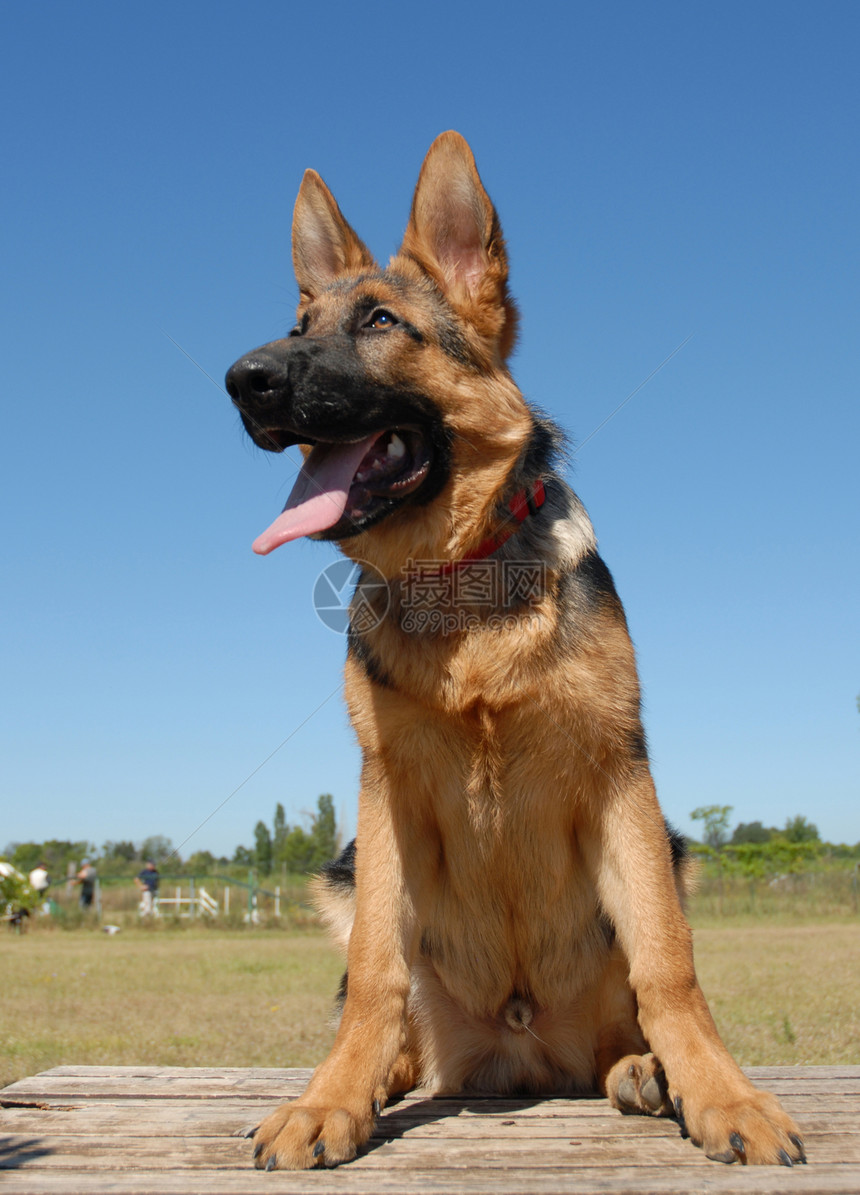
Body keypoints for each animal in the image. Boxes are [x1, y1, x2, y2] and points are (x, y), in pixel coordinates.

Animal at [224, 130, 802, 1166]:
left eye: (381, 321)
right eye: (298, 322)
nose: (242, 379)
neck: (462, 590)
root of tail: (521, 1050)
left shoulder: (623, 777)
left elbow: (670, 965)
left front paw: (724, 1094)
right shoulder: (386, 796)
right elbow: (374, 971)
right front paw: (332, 1097)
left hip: (669, 849)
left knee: (630, 1009)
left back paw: (646, 1070)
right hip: (343, 871)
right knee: (390, 1007)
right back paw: (383, 1074)